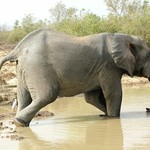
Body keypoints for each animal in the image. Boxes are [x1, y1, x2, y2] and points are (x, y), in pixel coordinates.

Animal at [0, 28, 150, 126]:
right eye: (149, 56)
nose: (147, 110)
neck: (120, 37)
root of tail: (17, 49)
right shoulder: (109, 67)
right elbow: (113, 93)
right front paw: (113, 118)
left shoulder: (99, 69)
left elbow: (91, 98)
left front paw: (105, 115)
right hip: (37, 67)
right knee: (47, 95)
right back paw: (19, 122)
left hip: (24, 69)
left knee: (23, 97)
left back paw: (19, 123)